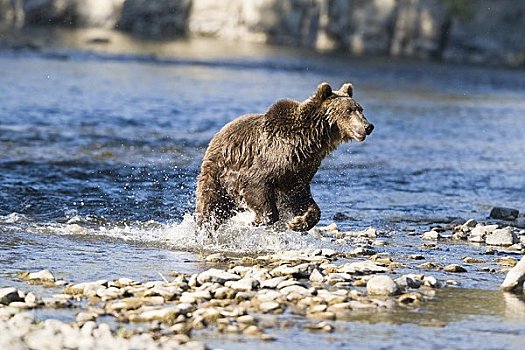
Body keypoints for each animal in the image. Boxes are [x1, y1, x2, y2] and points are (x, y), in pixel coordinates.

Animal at [193, 82, 372, 232]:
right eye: (349, 110)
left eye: (360, 109)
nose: (368, 126)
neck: (309, 141)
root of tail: (218, 135)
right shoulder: (271, 157)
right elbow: (256, 183)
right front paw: (255, 221)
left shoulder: (299, 171)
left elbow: (302, 198)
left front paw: (298, 222)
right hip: (218, 173)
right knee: (210, 205)